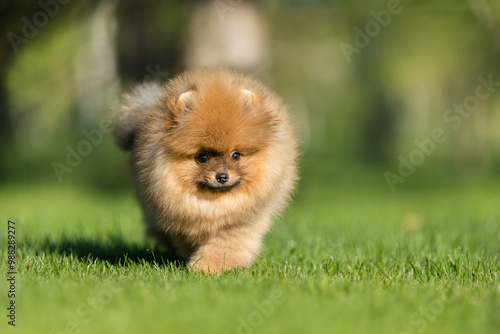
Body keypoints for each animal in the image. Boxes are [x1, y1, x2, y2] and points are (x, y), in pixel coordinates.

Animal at [112, 69, 296, 272]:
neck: (214, 205)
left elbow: (226, 244)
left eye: (236, 155)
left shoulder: (244, 221)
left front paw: (207, 266)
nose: (222, 176)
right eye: (202, 157)